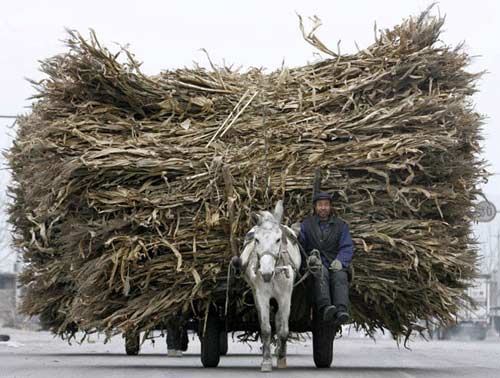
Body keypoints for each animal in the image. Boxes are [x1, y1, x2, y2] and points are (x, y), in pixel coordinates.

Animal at [231, 201, 298, 372]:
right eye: (257, 240)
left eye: (279, 239)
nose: (266, 273)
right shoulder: (262, 295)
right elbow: (266, 329)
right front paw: (266, 361)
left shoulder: (286, 296)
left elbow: (283, 330)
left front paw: (281, 358)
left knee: (280, 321)